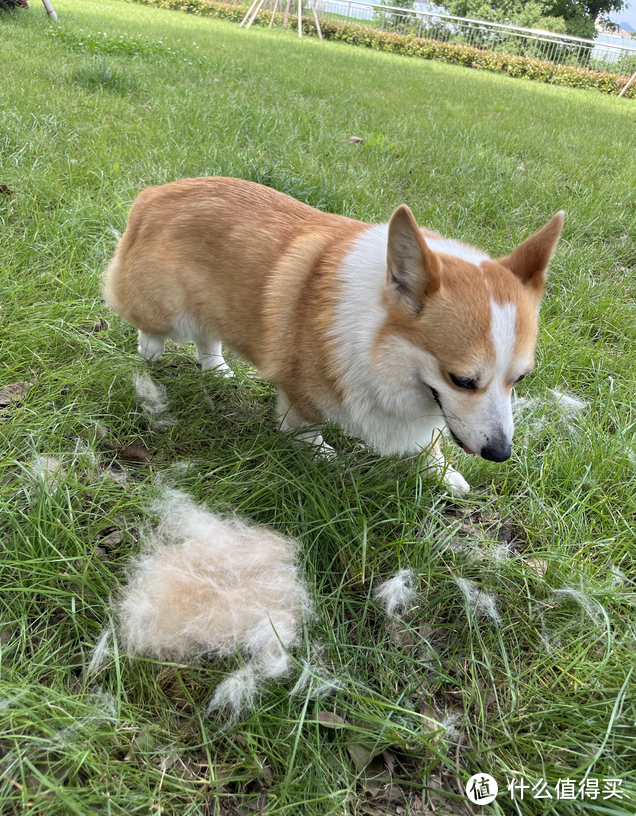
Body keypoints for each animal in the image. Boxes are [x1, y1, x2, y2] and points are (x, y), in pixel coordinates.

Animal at [102, 178, 564, 494]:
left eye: (520, 379)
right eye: (462, 380)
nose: (500, 454)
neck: (379, 338)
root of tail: (153, 194)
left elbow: (432, 439)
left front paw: (443, 473)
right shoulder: (301, 393)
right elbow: (305, 427)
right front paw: (322, 456)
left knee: (208, 336)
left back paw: (216, 369)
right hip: (167, 306)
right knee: (151, 324)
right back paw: (151, 351)